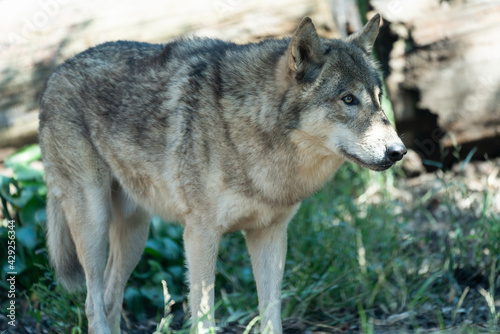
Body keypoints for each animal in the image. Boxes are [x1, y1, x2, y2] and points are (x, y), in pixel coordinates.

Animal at [39, 13, 406, 334]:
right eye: (348, 99)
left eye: (379, 99)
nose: (399, 152)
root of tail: (56, 73)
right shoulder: (200, 235)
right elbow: (204, 317)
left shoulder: (270, 234)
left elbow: (271, 315)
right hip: (94, 223)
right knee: (92, 303)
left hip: (136, 234)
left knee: (110, 299)